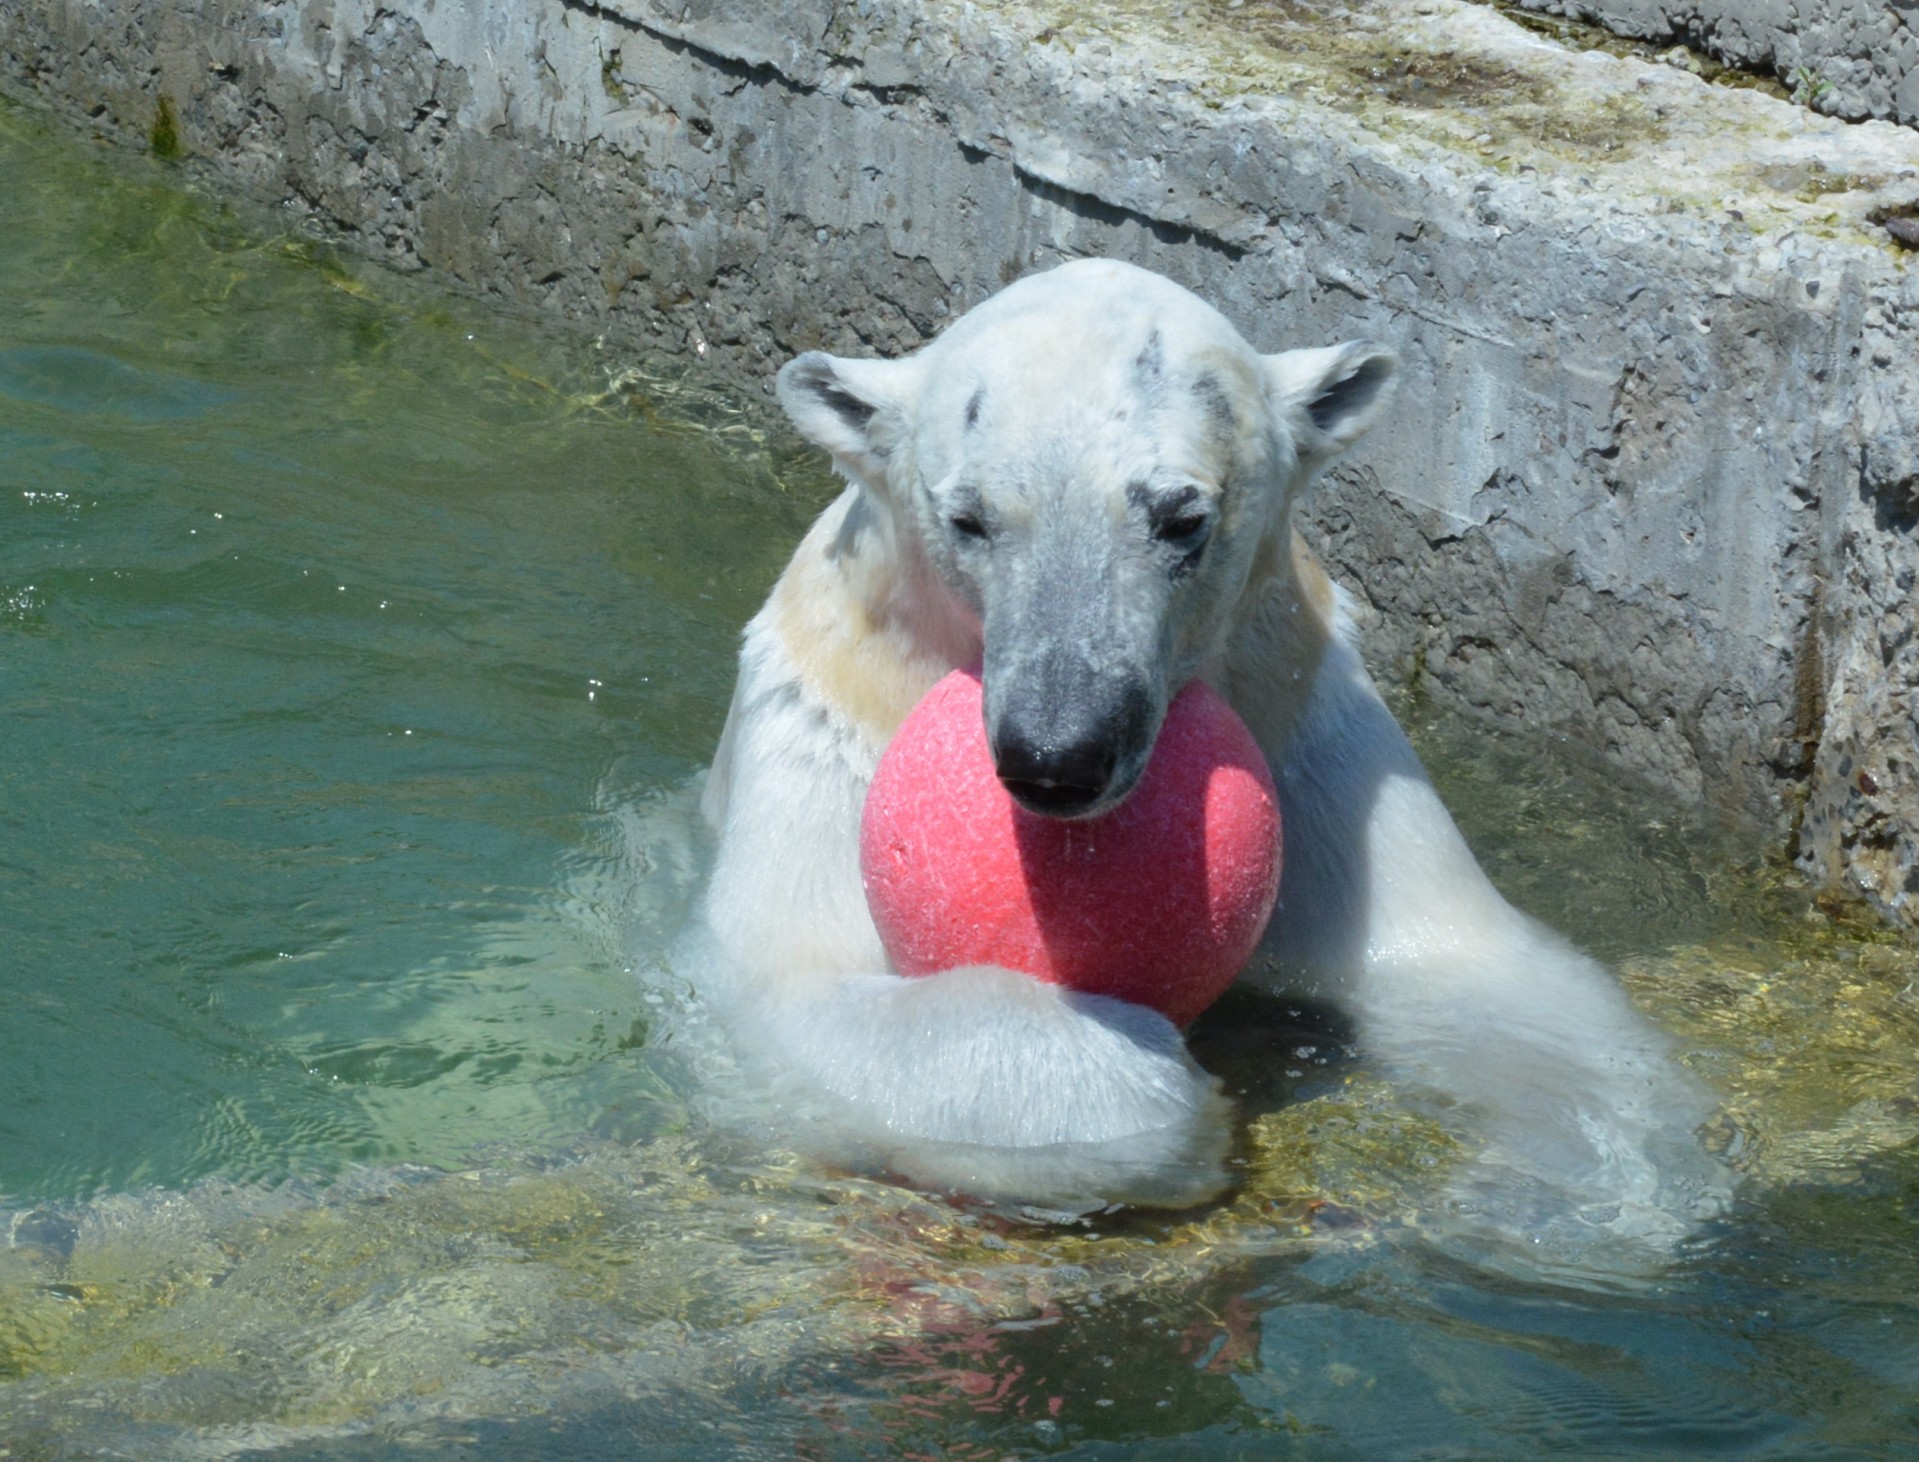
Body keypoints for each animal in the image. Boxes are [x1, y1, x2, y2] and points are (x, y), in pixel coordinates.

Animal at [690, 257, 1727, 1250]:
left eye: (1180, 517)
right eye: (968, 519)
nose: (1057, 752)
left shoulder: (1307, 731)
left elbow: (1457, 961)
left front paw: (1577, 1188)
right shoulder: (830, 727)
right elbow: (793, 987)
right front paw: (1148, 1090)